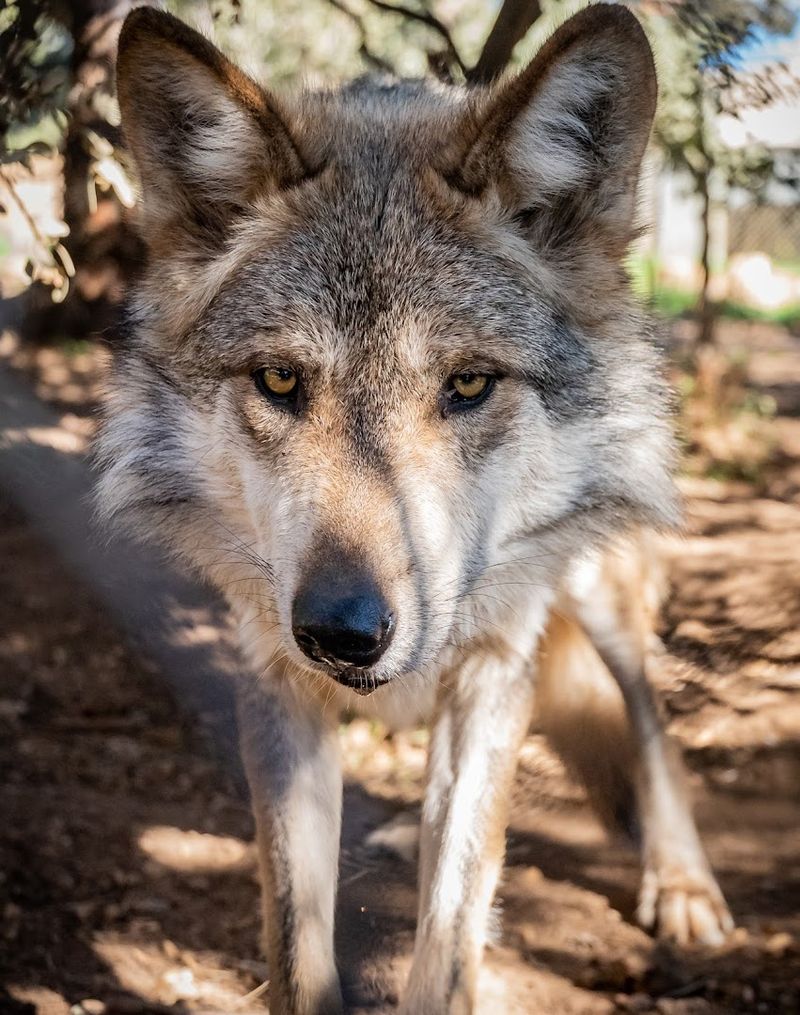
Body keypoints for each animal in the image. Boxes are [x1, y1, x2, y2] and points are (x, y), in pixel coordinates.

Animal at [97, 4, 732, 1012]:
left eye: (468, 384)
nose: (343, 630)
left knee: (650, 724)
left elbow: (452, 933)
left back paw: (683, 885)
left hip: (597, 591)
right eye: (280, 380)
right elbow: (297, 943)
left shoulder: (495, 662)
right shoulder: (272, 673)